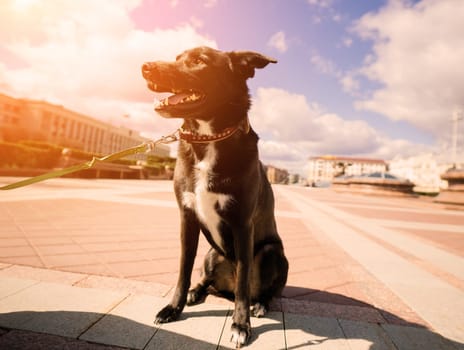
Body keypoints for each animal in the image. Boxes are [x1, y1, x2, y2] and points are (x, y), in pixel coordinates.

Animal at [141, 45, 286, 348]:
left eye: (200, 61)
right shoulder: (187, 218)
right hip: (211, 255)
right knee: (207, 280)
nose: (145, 67)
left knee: (261, 290)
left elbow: (243, 282)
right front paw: (174, 307)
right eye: (177, 58)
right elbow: (183, 270)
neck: (208, 138)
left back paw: (260, 304)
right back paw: (197, 292)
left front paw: (240, 325)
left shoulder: (243, 225)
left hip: (272, 251)